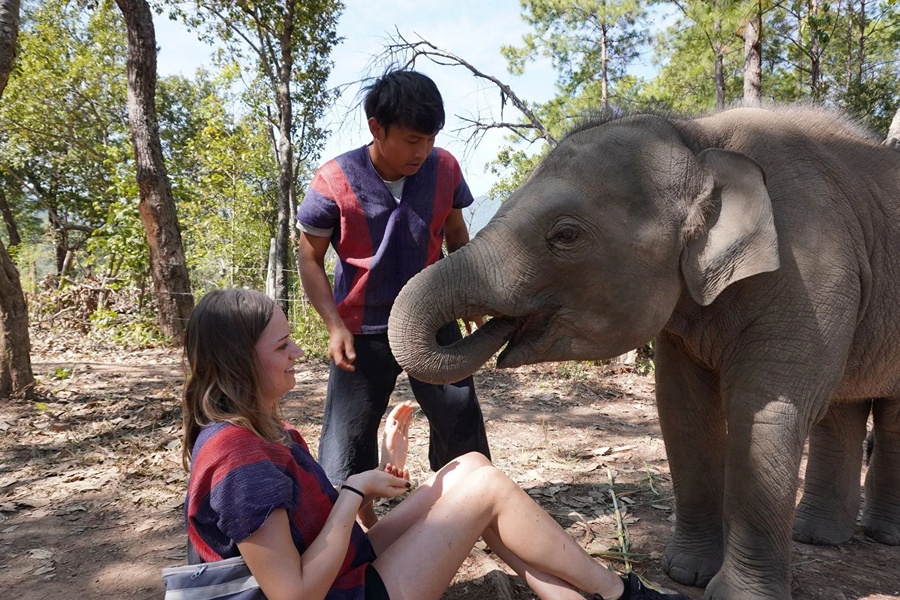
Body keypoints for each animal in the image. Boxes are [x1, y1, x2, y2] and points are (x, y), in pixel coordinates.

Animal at [387, 107, 900, 600]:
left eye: (566, 235)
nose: (484, 324)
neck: (699, 138)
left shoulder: (812, 272)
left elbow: (768, 413)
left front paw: (735, 596)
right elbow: (682, 408)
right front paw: (685, 573)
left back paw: (878, 537)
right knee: (844, 409)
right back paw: (818, 538)